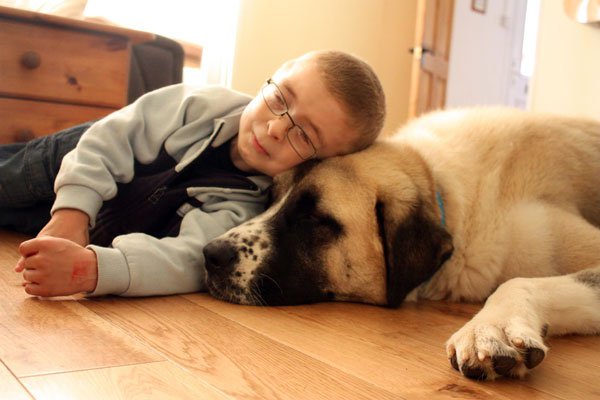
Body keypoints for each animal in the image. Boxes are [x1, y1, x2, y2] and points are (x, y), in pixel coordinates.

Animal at [203, 107, 600, 382]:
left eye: (314, 219)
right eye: (271, 197)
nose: (211, 255)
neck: (441, 191)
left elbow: (517, 282)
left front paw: (491, 327)